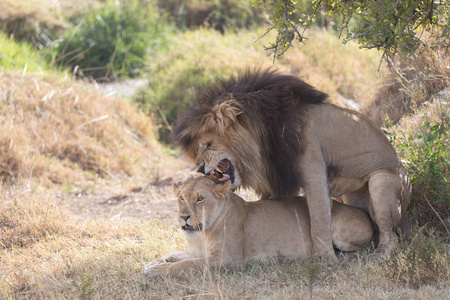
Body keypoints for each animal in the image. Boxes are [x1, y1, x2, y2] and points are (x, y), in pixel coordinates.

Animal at [143, 176, 372, 276]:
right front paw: (152, 264)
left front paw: (158, 270)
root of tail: (367, 214)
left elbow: (187, 264)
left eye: (200, 199)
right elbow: (175, 255)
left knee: (361, 250)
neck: (202, 234)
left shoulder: (229, 260)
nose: (184, 217)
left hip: (335, 226)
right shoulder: (199, 251)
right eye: (181, 198)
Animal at [173, 68, 412, 260]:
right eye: (197, 149)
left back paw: (380, 255)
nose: (199, 168)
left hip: (382, 182)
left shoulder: (314, 173)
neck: (262, 139)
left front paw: (323, 258)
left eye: (208, 144)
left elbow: (318, 218)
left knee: (390, 234)